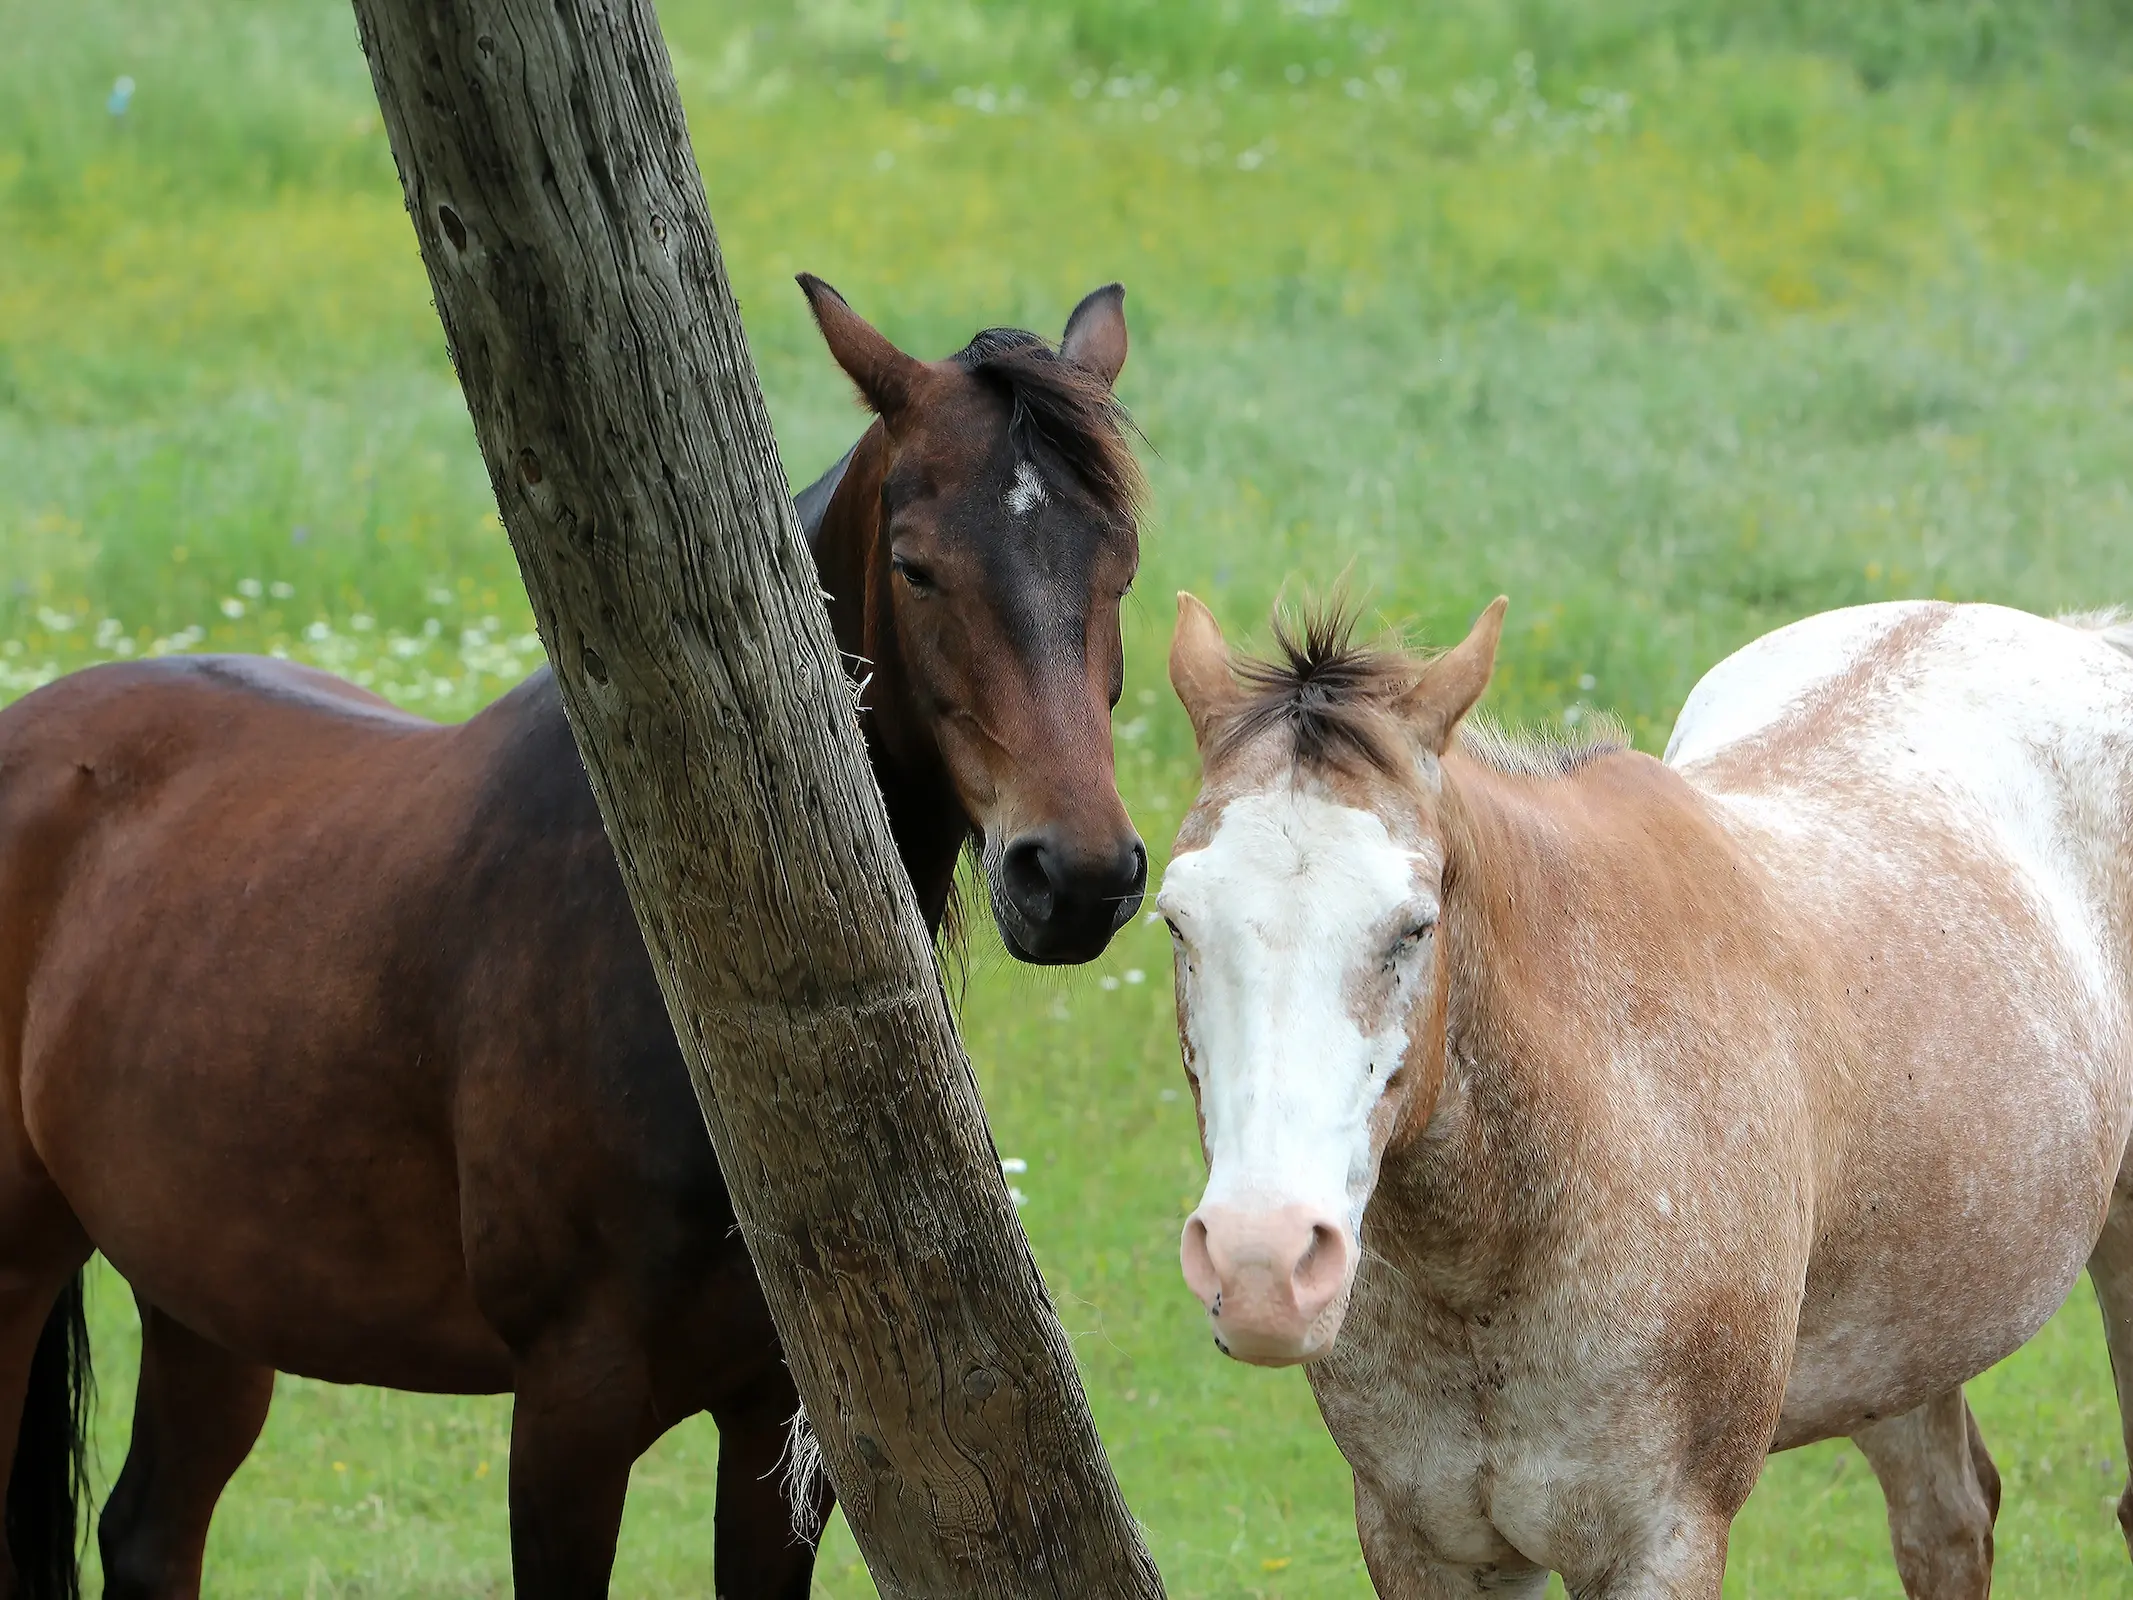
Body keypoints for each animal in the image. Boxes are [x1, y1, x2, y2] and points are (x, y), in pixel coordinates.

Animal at [0, 279, 1151, 1600]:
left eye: (1120, 563)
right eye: (917, 567)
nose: (1077, 876)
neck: (673, 959)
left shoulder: (778, 1414)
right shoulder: (570, 1410)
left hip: (207, 1292)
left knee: (151, 1532)